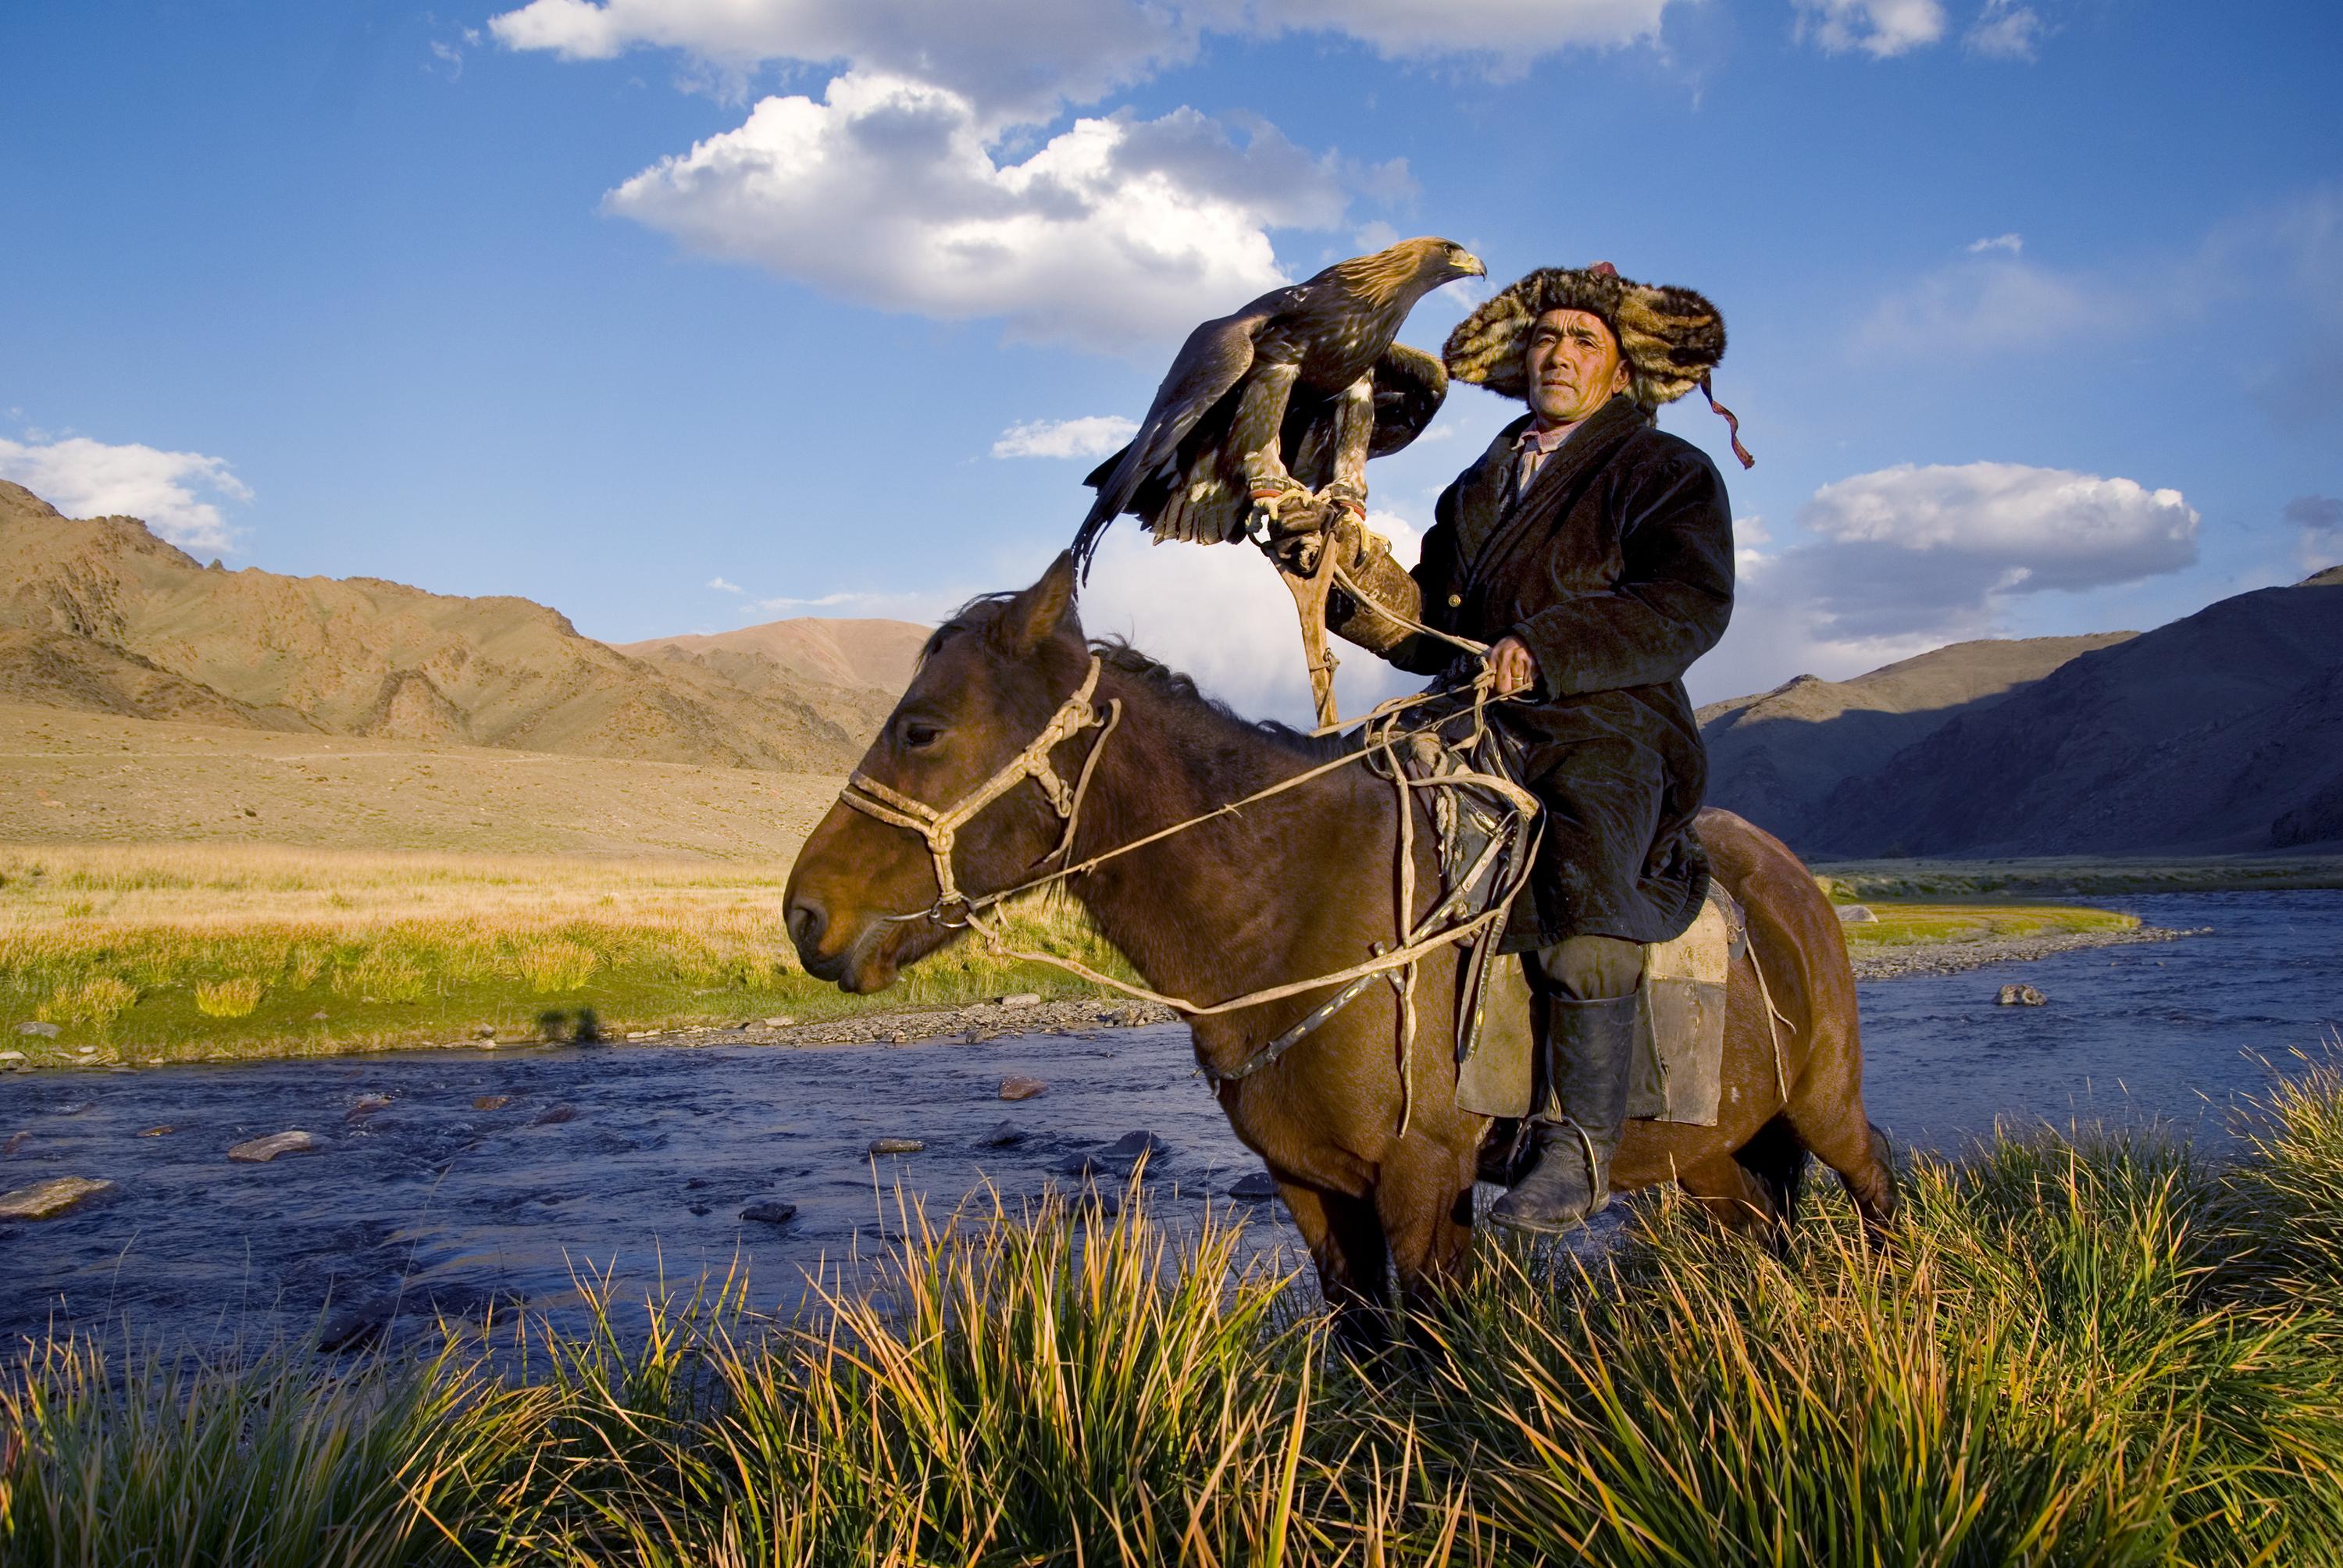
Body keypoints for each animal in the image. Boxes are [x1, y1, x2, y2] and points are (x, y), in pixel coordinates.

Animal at [787, 555, 1903, 1312]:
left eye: (922, 728)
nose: (806, 915)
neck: (1290, 907)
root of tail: (1794, 885)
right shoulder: (1314, 1190)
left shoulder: (1424, 1187)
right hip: (1706, 1150)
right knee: (1762, 1227)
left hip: (1825, 1104)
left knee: (1876, 1182)